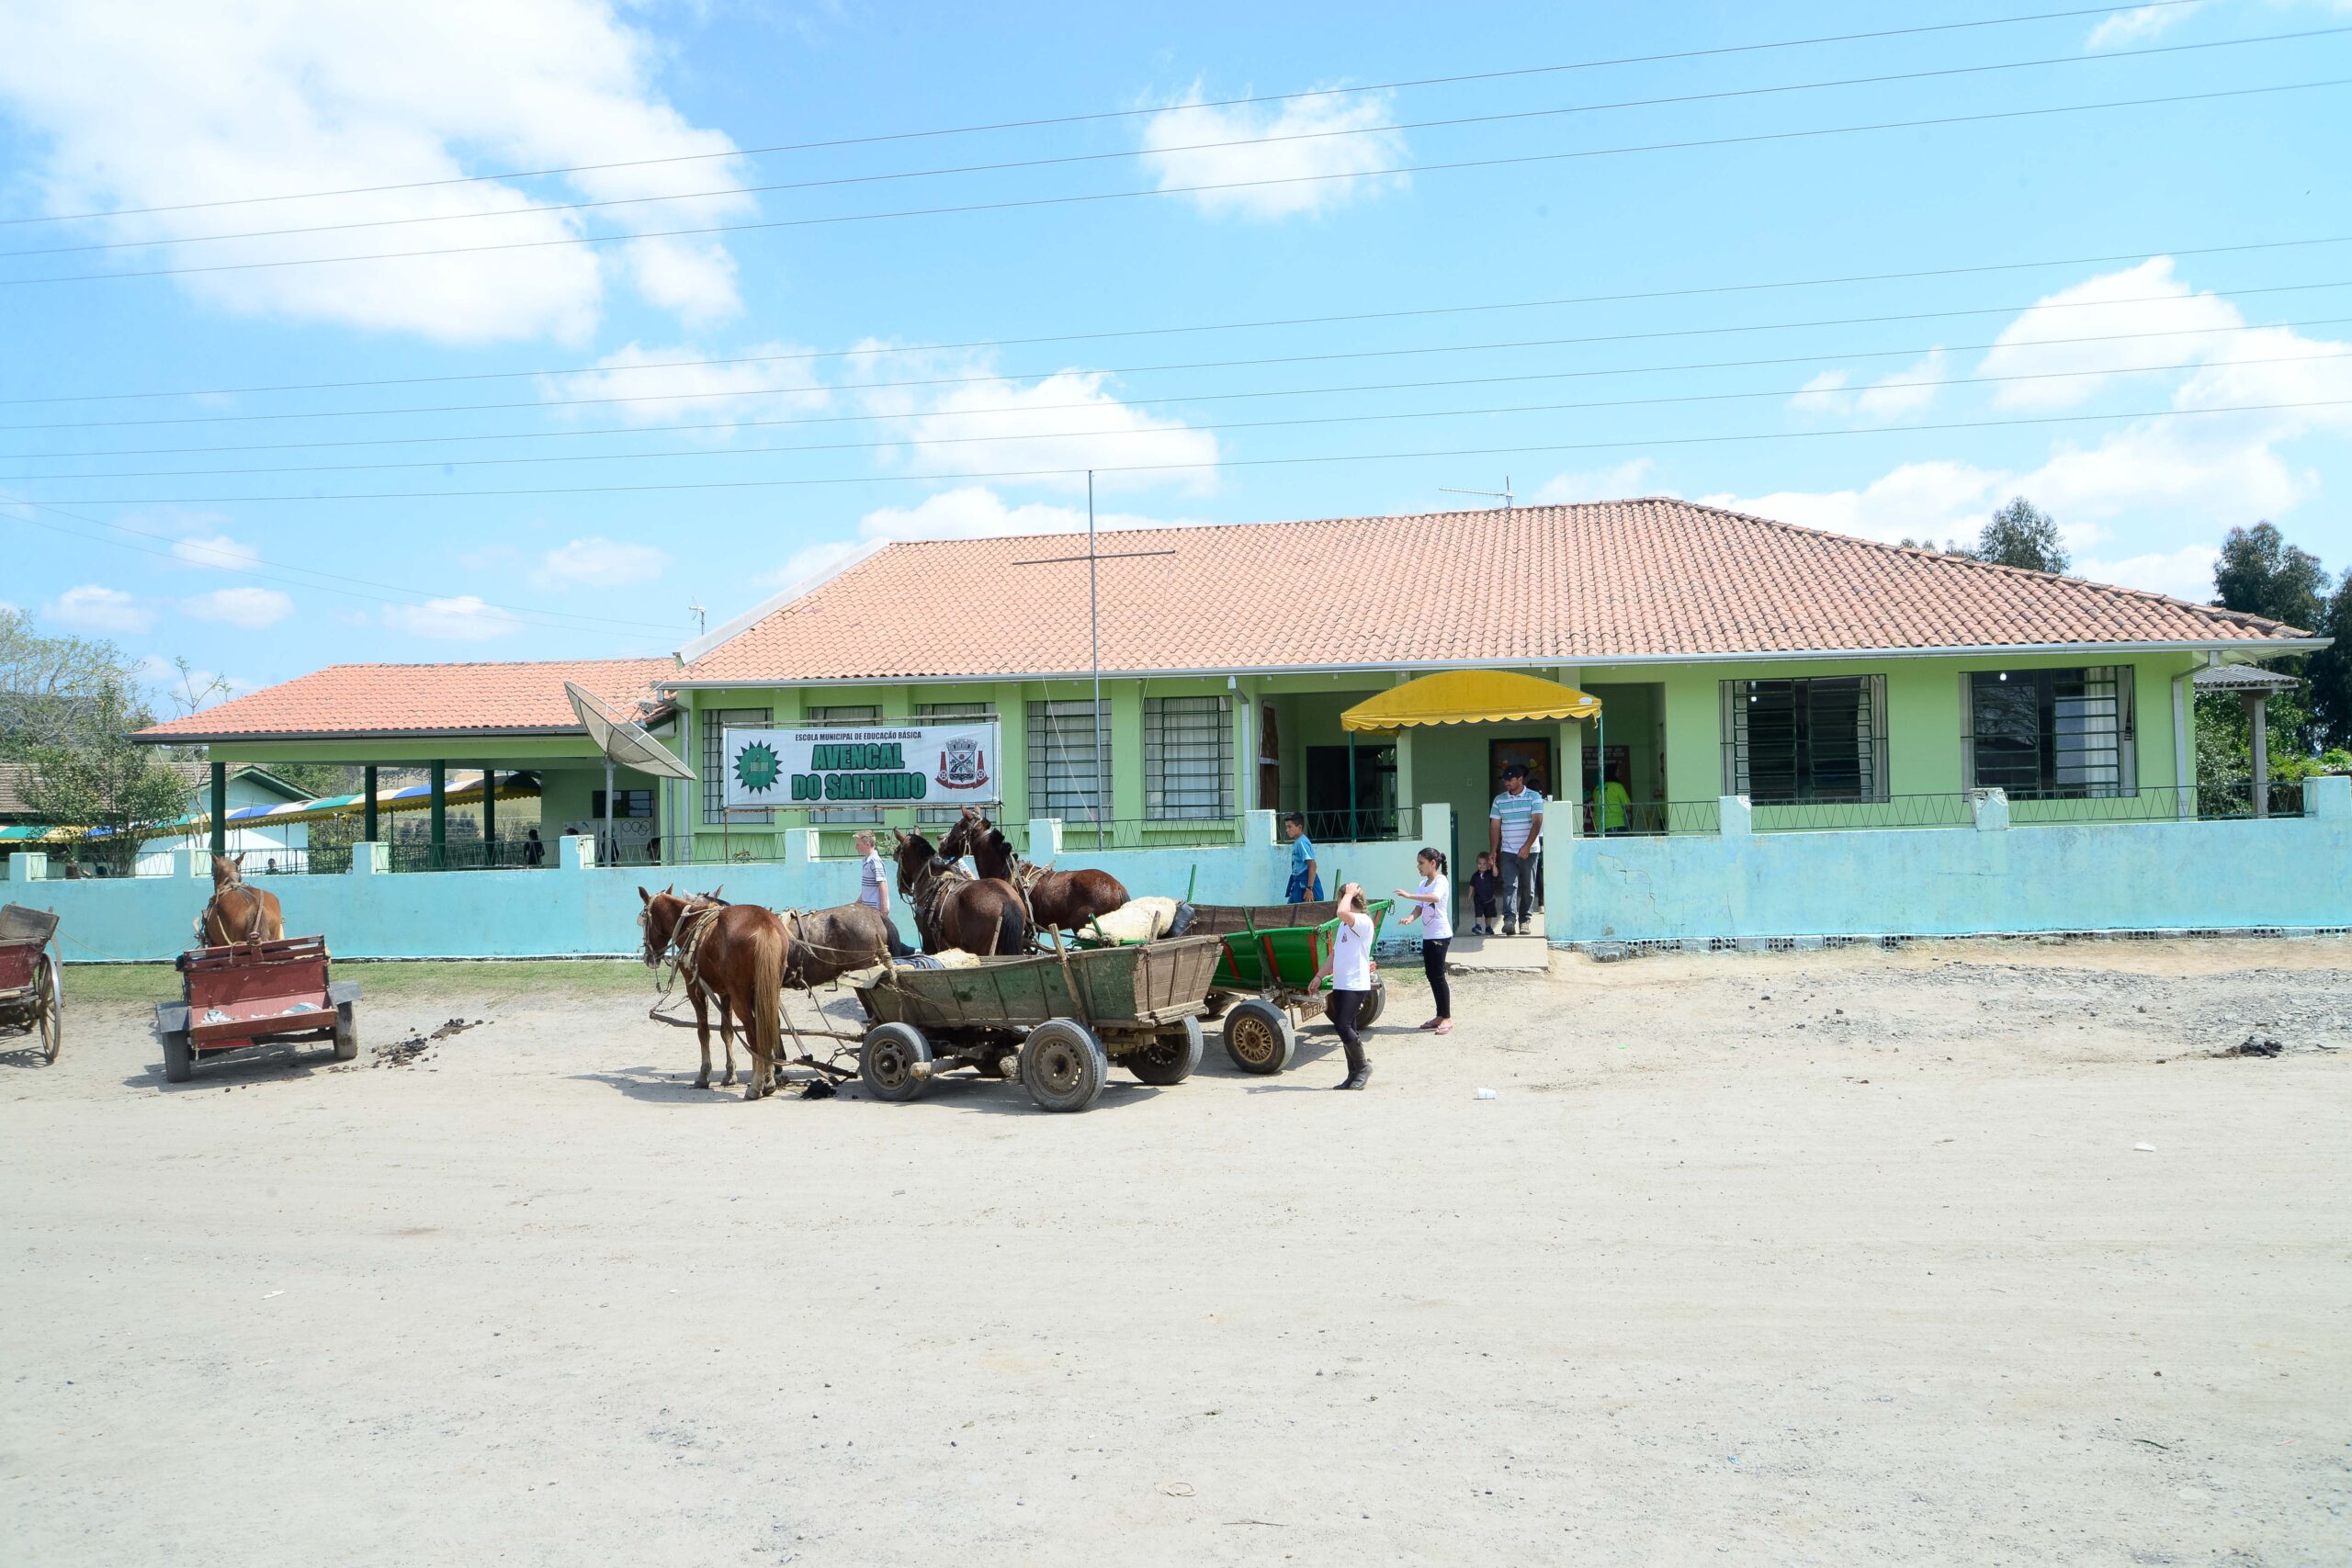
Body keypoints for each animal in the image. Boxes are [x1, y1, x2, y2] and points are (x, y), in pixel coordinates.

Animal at [635, 884, 790, 1104]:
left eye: (643, 921)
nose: (649, 958)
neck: (690, 924)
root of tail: (764, 925)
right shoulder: (726, 993)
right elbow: (726, 1032)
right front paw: (730, 1074)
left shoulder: (695, 989)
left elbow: (703, 1031)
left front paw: (703, 1075)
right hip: (767, 989)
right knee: (768, 1026)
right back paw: (768, 1081)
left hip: (741, 995)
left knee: (753, 1031)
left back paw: (756, 1085)